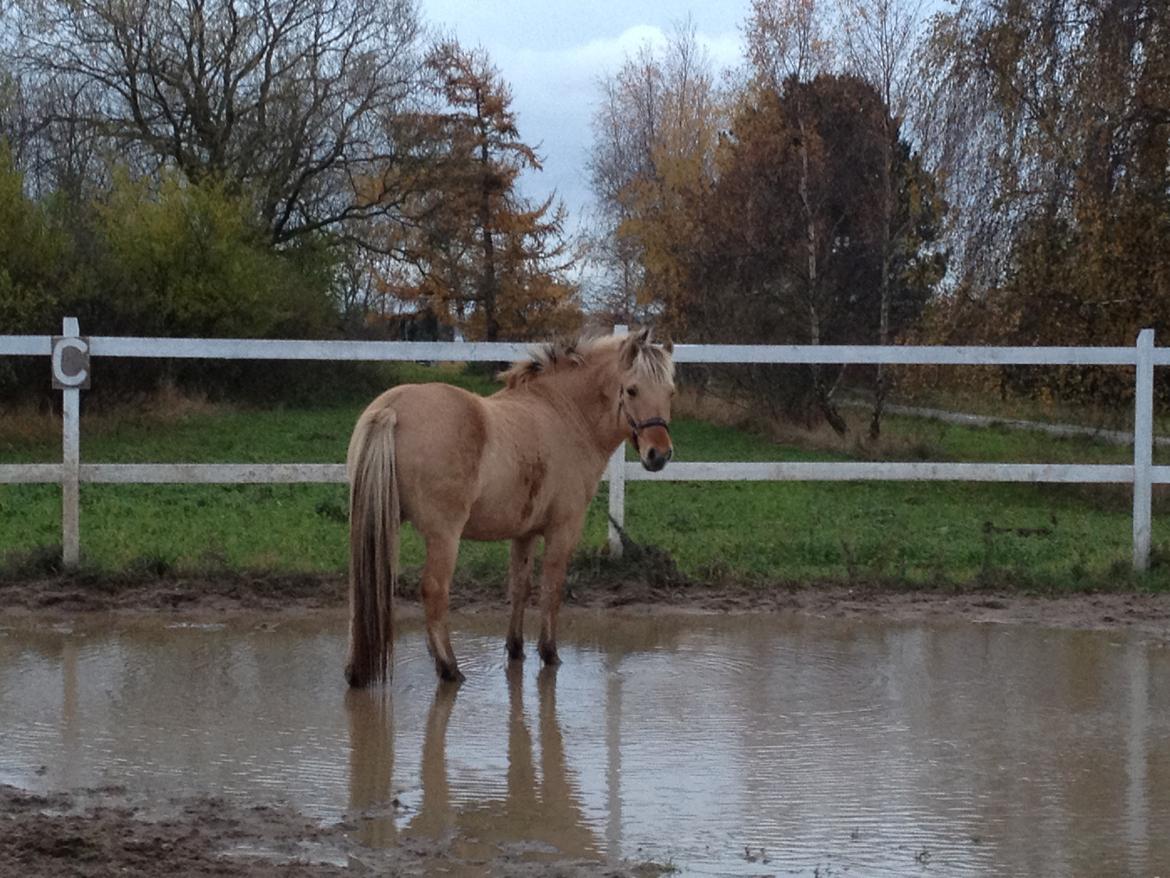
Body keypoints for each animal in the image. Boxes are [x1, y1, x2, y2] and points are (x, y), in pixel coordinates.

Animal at [343, 327, 678, 688]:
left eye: (670, 392)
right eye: (632, 389)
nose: (659, 455)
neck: (564, 414)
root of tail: (391, 410)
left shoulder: (523, 532)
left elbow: (520, 586)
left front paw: (516, 649)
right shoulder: (563, 529)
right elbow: (551, 588)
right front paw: (549, 653)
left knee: (359, 589)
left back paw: (355, 671)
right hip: (444, 536)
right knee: (434, 591)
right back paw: (450, 669)